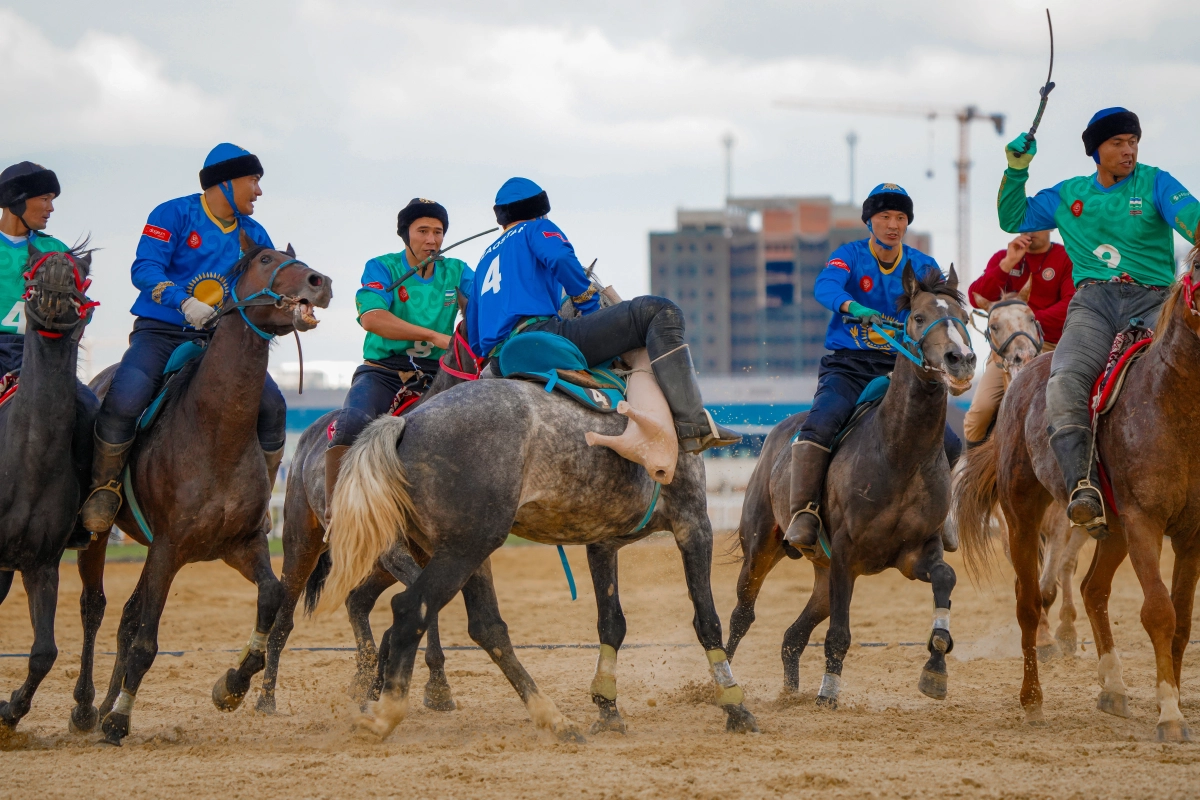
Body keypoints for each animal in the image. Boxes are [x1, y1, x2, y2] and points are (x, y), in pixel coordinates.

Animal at [70, 235, 333, 748]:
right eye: (266, 259)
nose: (322, 281)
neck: (216, 431)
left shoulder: (239, 545)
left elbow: (271, 601)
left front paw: (231, 685)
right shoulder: (169, 549)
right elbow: (147, 640)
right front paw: (119, 721)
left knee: (125, 617)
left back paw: (107, 702)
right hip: (101, 533)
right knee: (95, 609)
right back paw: (89, 708)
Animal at [255, 326, 480, 714]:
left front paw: (432, 684)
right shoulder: (396, 549)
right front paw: (436, 687)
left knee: (357, 601)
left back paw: (365, 678)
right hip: (302, 543)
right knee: (284, 619)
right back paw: (266, 698)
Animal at [314, 367, 753, 738]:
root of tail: (406, 423)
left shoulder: (602, 542)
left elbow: (612, 623)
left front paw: (607, 709)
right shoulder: (693, 524)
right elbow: (707, 620)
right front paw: (734, 706)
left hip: (467, 553)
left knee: (487, 628)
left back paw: (553, 718)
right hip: (465, 549)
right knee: (411, 610)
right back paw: (385, 715)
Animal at [955, 247, 1200, 743]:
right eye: (993, 326)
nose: (1019, 352)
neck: (1173, 404)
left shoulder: (1191, 534)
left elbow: (1182, 621)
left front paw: (1172, 701)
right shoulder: (1143, 522)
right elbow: (1159, 612)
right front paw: (1169, 716)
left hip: (1113, 529)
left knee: (1092, 589)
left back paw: (1114, 688)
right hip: (1023, 514)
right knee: (1028, 603)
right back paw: (1033, 699)